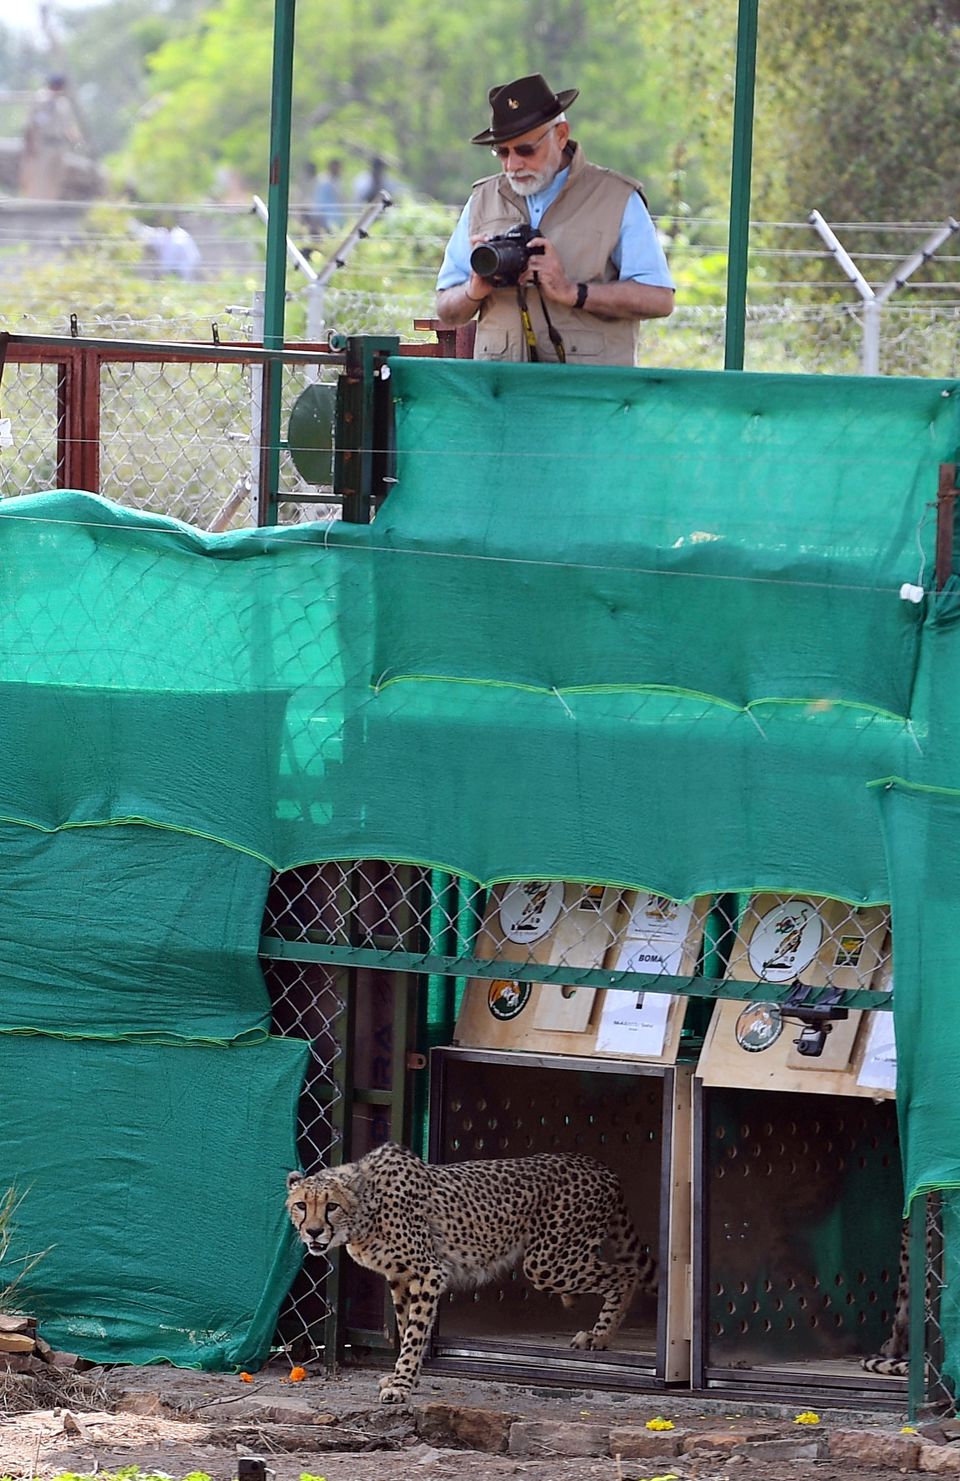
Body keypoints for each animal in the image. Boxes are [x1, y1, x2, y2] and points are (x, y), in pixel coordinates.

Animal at [288, 1143, 654, 1398]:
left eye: (332, 1206)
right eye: (301, 1205)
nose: (314, 1232)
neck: (366, 1209)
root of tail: (598, 1165)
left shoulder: (427, 1273)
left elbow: (415, 1332)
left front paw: (402, 1384)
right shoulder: (401, 1277)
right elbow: (407, 1327)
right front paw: (406, 1377)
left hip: (547, 1262)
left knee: (627, 1273)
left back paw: (600, 1335)